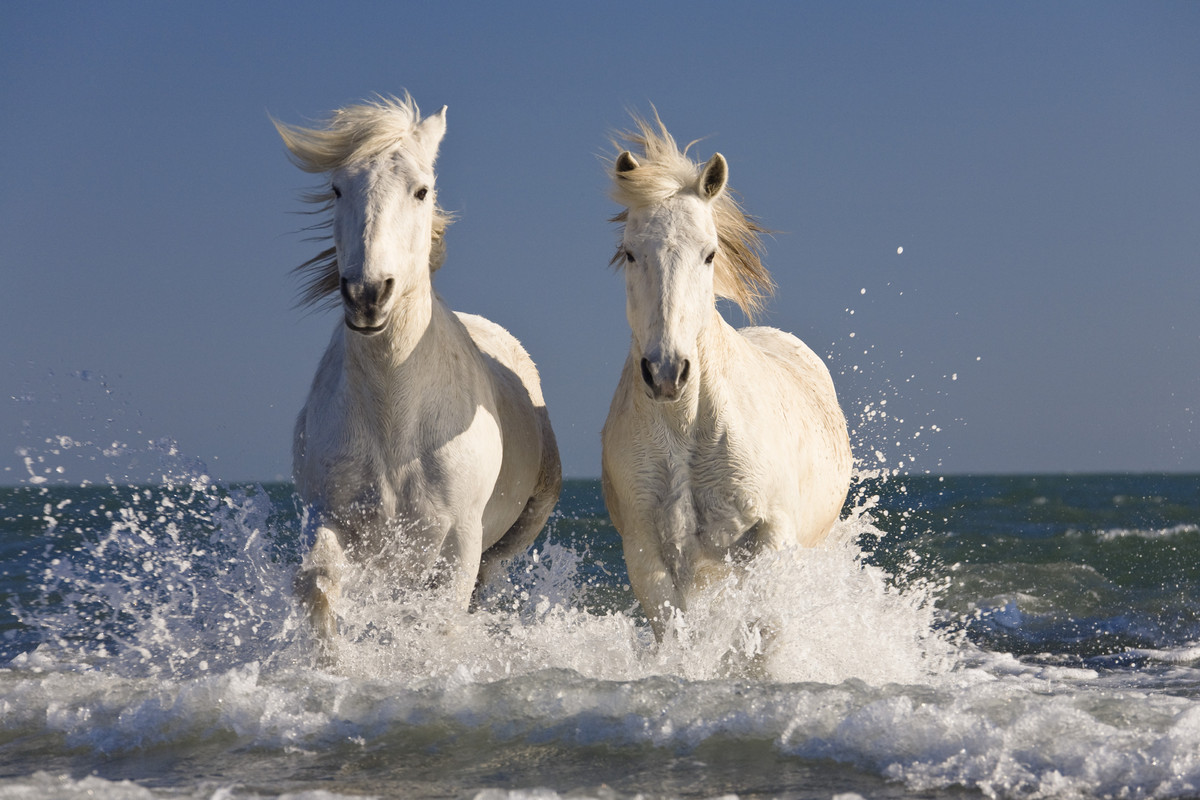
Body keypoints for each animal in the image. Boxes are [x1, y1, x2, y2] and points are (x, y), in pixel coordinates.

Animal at [275, 95, 561, 643]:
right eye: (337, 188)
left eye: (421, 189)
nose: (368, 295)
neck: (395, 418)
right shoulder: (331, 518)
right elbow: (318, 585)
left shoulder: (458, 543)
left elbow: (437, 623)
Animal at [600, 113, 852, 642]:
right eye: (630, 253)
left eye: (710, 254)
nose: (666, 372)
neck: (687, 427)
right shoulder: (645, 550)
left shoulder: (771, 535)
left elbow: (760, 632)